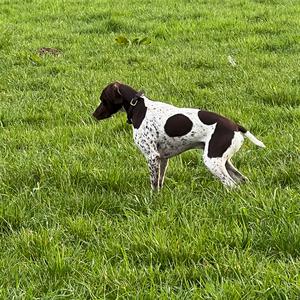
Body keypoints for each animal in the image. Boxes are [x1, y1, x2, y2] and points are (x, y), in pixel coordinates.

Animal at [92, 82, 266, 190]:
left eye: (103, 99)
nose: (93, 115)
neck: (139, 107)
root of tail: (235, 126)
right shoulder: (162, 159)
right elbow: (160, 182)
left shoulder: (152, 156)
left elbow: (153, 184)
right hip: (223, 160)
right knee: (242, 180)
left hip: (212, 161)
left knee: (231, 184)